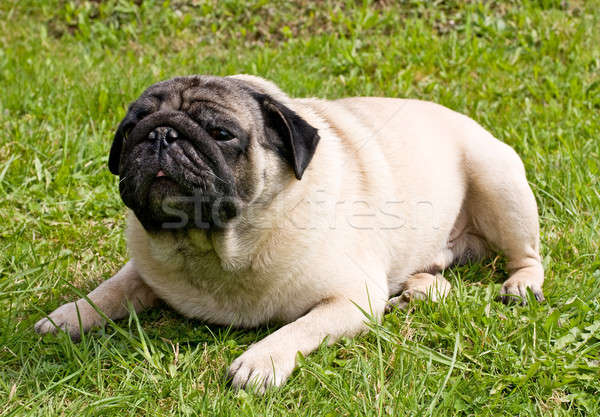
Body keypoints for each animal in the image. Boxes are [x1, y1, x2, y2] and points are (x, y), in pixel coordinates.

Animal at [34, 74, 544, 390]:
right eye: (132, 128)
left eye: (221, 133)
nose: (162, 134)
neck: (216, 247)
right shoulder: (144, 266)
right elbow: (111, 289)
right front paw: (68, 317)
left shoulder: (352, 299)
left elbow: (301, 327)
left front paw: (261, 360)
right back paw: (419, 289)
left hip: (499, 182)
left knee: (528, 255)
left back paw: (520, 285)